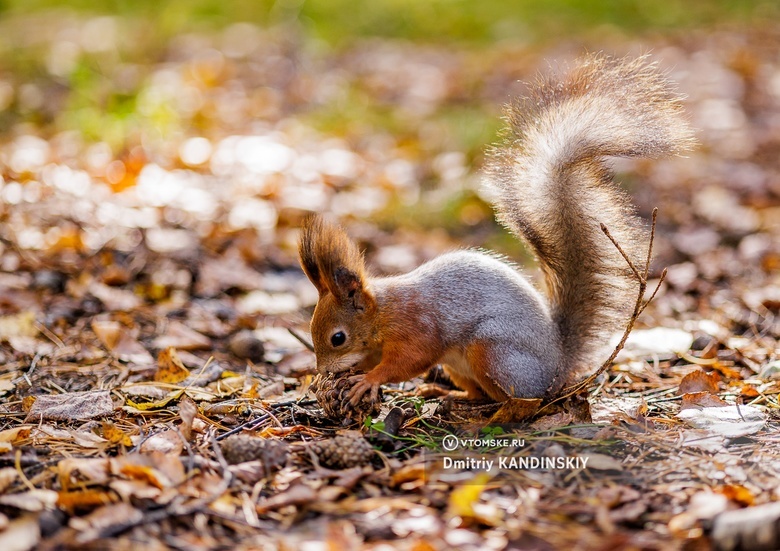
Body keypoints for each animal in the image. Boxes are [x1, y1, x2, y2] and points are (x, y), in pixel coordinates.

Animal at [298, 54, 696, 408]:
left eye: (337, 338)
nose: (322, 371)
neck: (383, 312)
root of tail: (558, 366)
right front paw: (347, 378)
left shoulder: (417, 327)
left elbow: (411, 359)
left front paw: (368, 380)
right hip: (462, 366)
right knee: (477, 393)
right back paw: (446, 393)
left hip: (492, 352)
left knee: (520, 400)